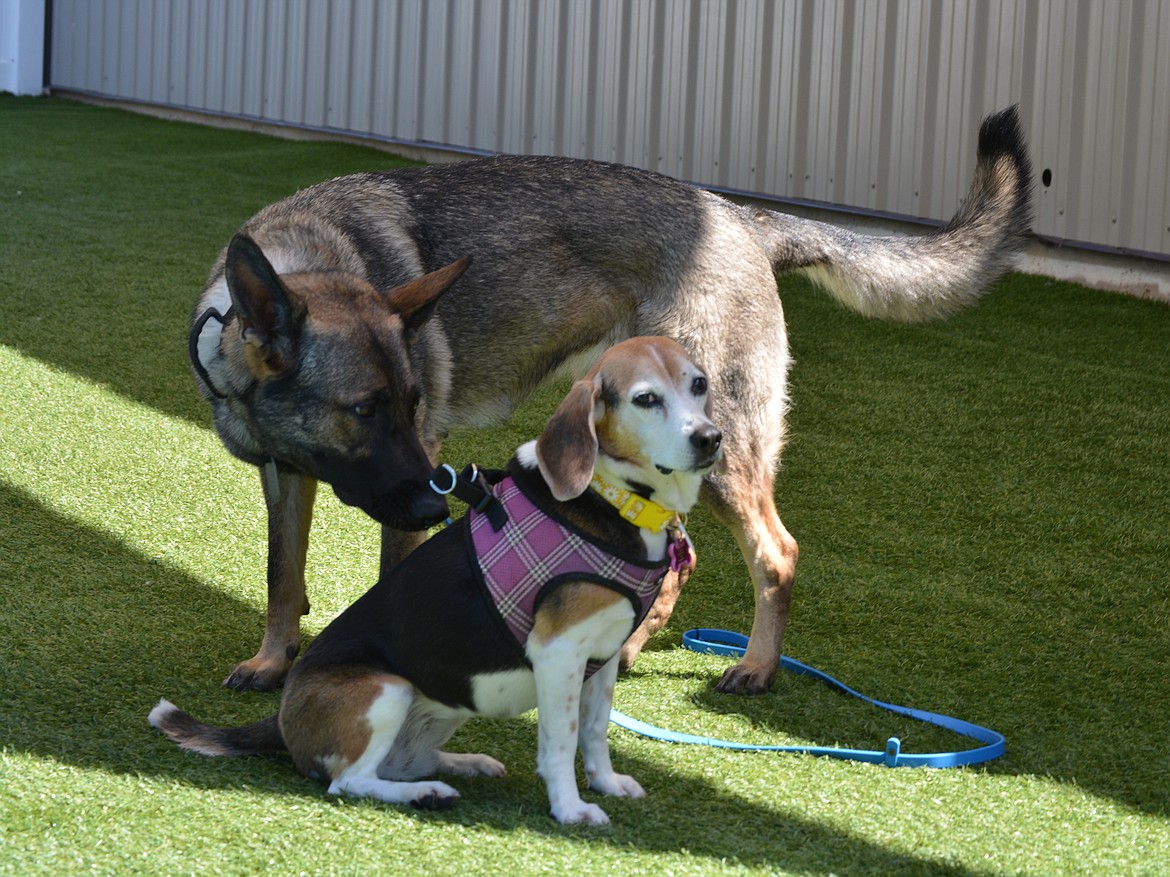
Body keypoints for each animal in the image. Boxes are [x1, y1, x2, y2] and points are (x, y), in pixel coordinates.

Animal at [156, 336, 720, 823]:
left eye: (699, 384)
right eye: (645, 399)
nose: (710, 438)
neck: (617, 500)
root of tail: (281, 720)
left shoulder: (602, 656)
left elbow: (595, 733)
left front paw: (605, 783)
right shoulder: (558, 654)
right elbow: (562, 741)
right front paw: (571, 809)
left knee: (402, 761)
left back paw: (463, 765)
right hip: (386, 689)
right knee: (348, 782)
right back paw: (427, 793)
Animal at [191, 106, 1034, 696]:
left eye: (411, 401)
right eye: (365, 410)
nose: (438, 505)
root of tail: (743, 218)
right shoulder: (283, 478)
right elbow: (281, 574)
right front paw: (272, 659)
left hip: (721, 456)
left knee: (776, 551)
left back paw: (755, 668)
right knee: (680, 558)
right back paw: (626, 650)